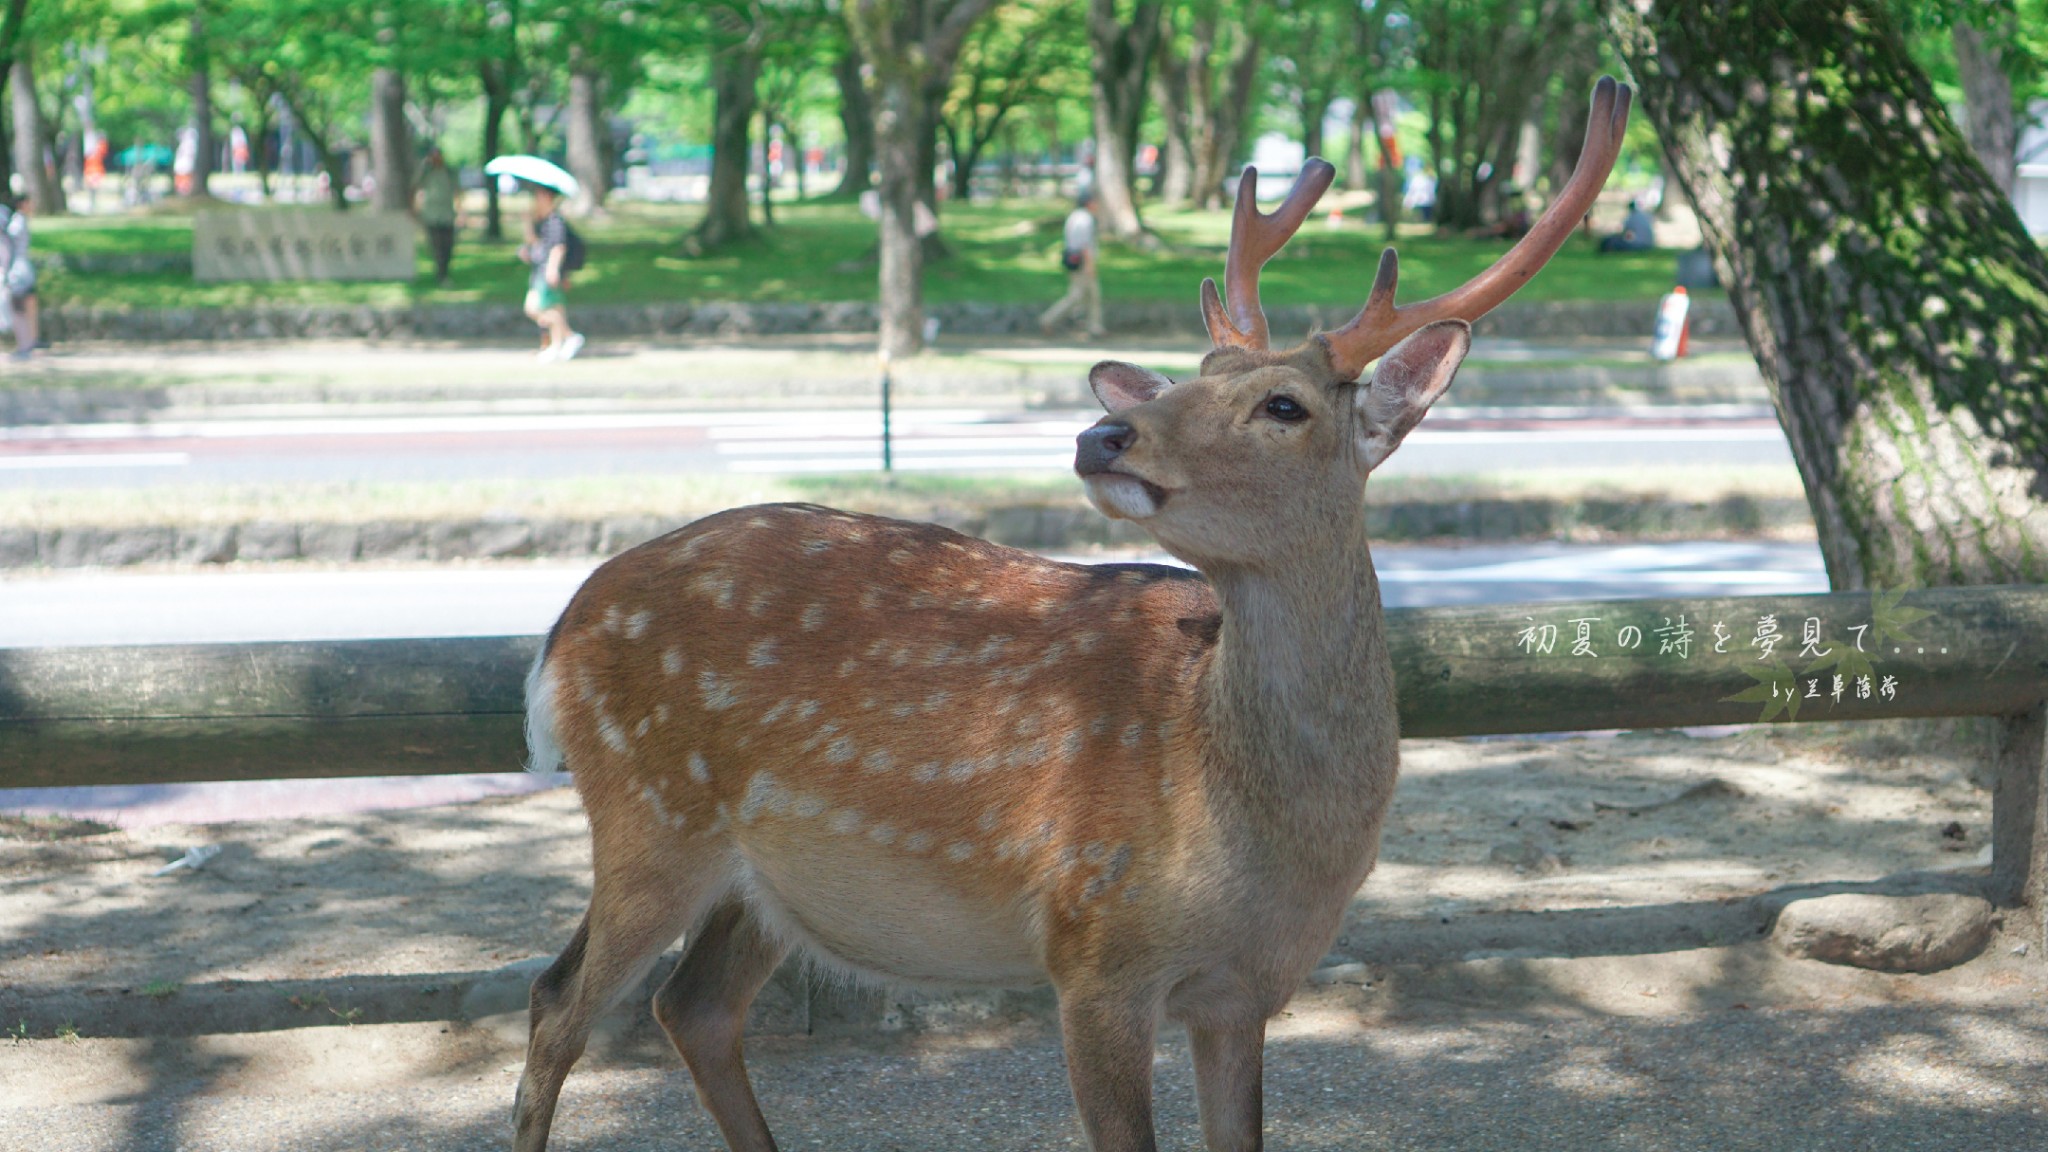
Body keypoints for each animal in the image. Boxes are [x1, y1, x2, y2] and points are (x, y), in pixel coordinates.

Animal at [512, 76, 1630, 1147]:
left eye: (1284, 406)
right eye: (1189, 373)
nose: (1103, 434)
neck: (1261, 841)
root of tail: (559, 632)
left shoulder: (1246, 991)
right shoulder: (1093, 947)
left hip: (761, 884)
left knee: (693, 1007)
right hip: (650, 814)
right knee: (558, 999)